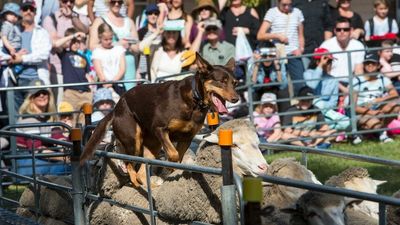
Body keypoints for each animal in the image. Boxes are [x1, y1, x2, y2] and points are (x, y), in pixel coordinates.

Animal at [79, 53, 239, 187]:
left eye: (235, 83)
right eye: (222, 81)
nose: (236, 99)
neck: (194, 100)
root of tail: (116, 108)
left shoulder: (187, 137)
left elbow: (178, 158)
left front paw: (165, 172)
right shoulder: (160, 129)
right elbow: (173, 155)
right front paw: (165, 168)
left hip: (152, 145)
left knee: (141, 169)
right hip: (134, 141)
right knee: (129, 163)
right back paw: (135, 182)